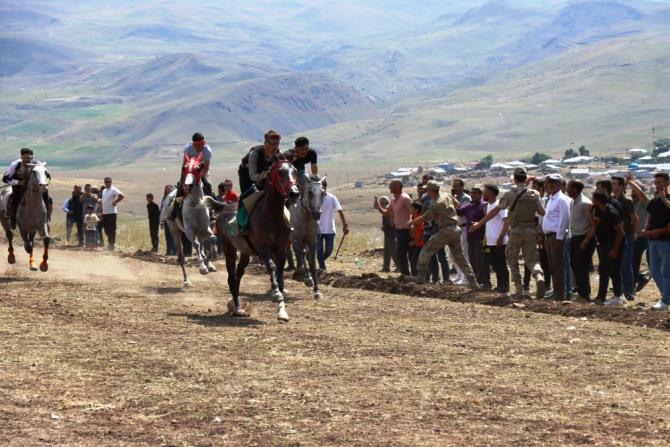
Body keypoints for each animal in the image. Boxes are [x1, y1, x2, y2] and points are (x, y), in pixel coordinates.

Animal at [164, 154, 217, 288]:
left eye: (198, 168)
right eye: (184, 168)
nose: (187, 186)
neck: (195, 204)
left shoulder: (206, 228)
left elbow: (213, 239)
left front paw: (209, 261)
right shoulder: (189, 231)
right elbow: (196, 245)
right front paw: (202, 268)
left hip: (200, 232)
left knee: (203, 244)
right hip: (175, 231)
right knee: (181, 256)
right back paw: (186, 280)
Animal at [206, 161, 298, 322]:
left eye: (295, 171)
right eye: (280, 172)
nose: (294, 193)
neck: (272, 215)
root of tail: (225, 207)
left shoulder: (280, 249)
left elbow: (280, 277)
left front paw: (282, 311)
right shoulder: (262, 248)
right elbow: (272, 267)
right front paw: (276, 295)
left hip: (245, 252)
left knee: (238, 275)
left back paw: (238, 306)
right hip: (229, 248)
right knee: (231, 278)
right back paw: (237, 308)